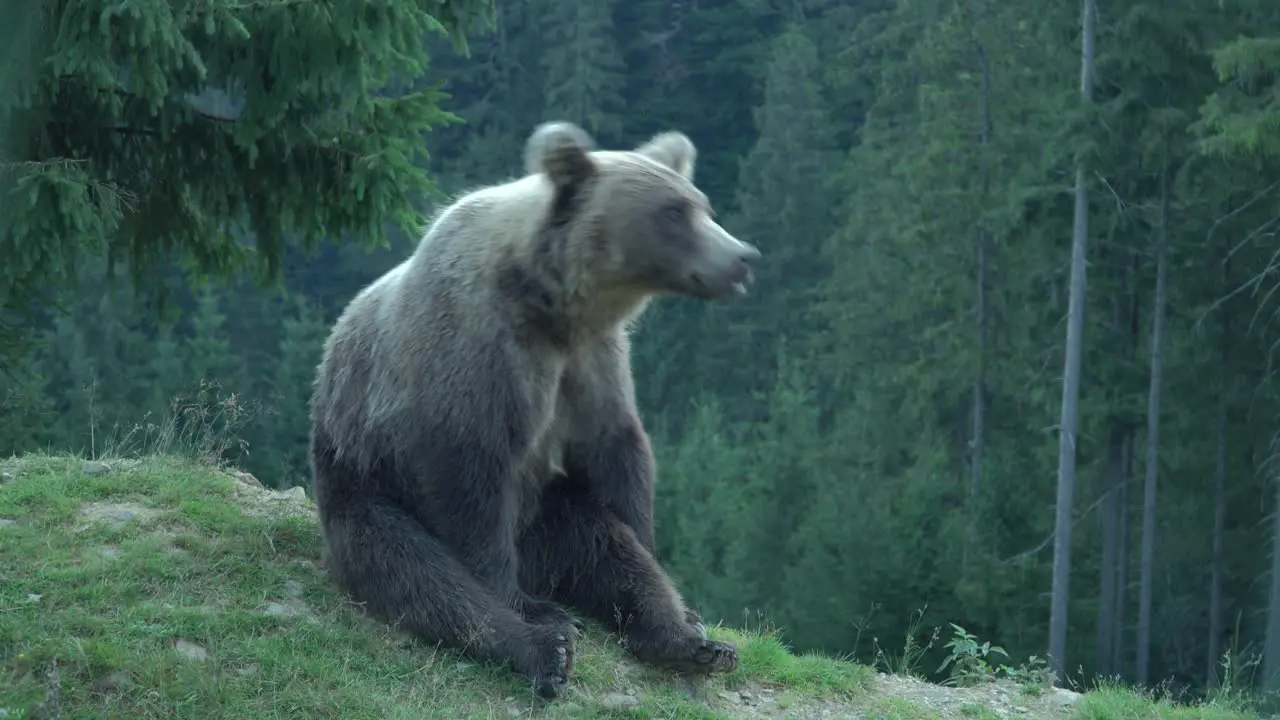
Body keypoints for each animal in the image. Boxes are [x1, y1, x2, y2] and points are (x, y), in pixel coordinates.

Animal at [308, 120, 757, 696]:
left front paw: (687, 609)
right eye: (674, 212)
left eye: (703, 204)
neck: (551, 303)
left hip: (545, 514)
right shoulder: (477, 356)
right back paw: (545, 643)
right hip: (365, 491)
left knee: (600, 543)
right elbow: (470, 482)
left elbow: (618, 458)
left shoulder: (594, 360)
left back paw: (690, 644)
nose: (742, 257)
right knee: (418, 573)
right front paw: (523, 608)